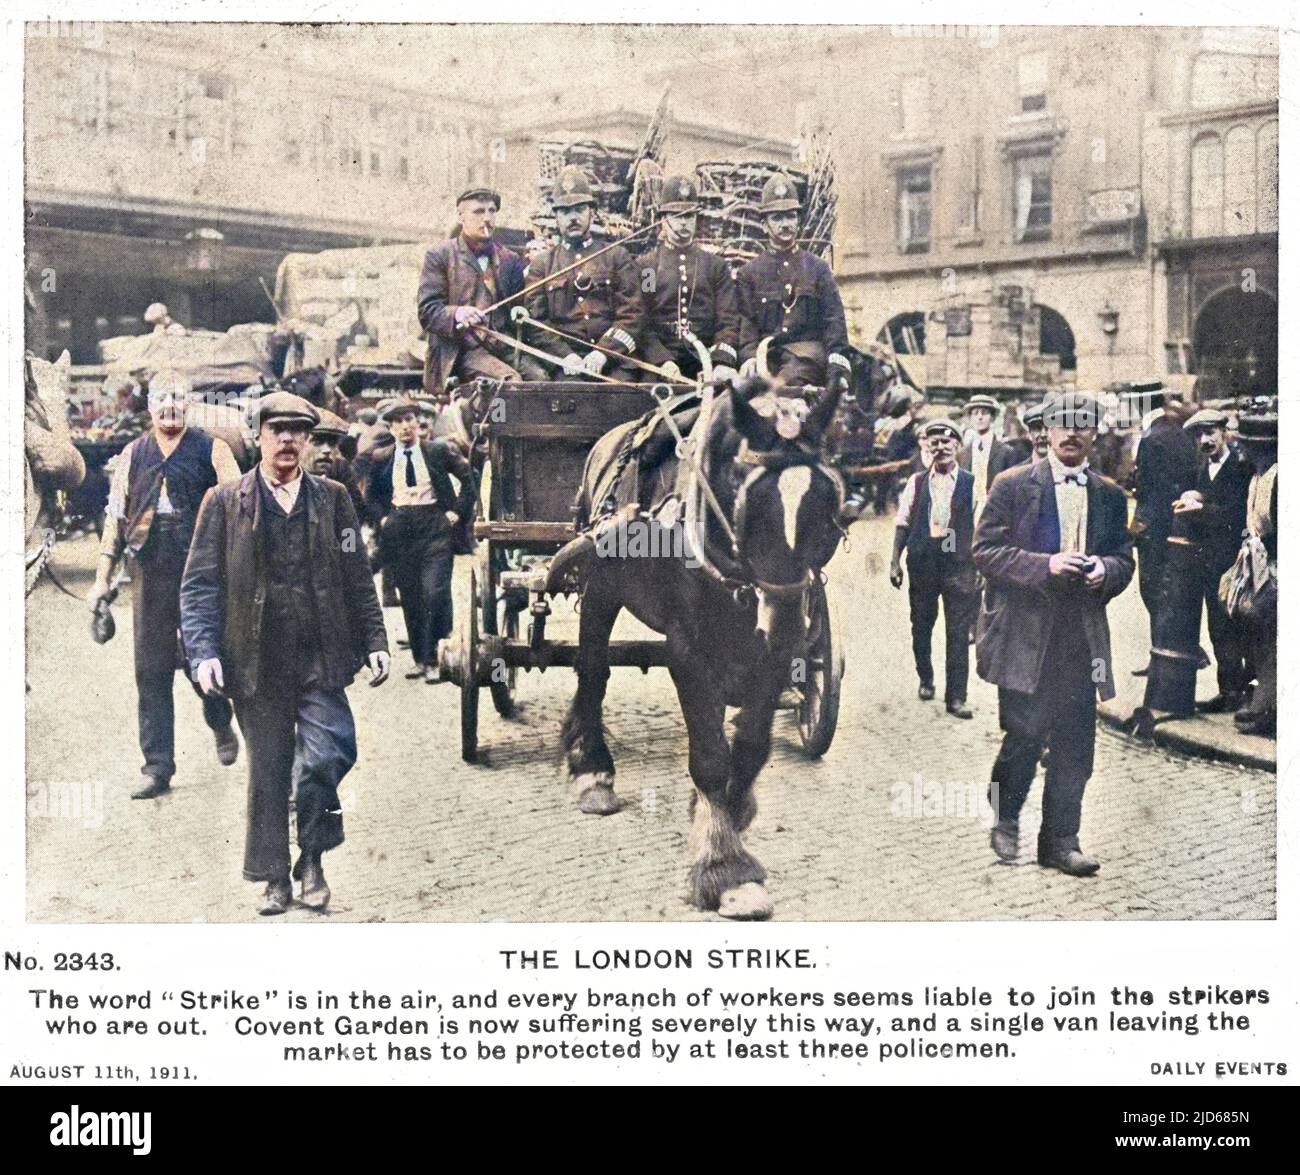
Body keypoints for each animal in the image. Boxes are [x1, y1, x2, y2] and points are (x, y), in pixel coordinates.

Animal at [546, 382, 842, 920]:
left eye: (826, 508)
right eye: (750, 507)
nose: (787, 618)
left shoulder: (772, 654)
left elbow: (750, 745)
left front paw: (731, 812)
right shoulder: (687, 651)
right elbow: (709, 756)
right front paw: (724, 869)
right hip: (600, 587)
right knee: (592, 670)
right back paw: (592, 769)